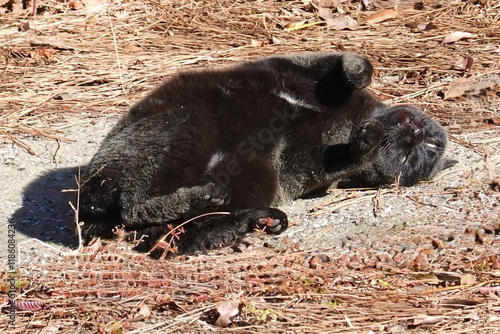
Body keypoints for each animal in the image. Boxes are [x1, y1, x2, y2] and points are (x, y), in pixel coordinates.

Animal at [79, 52, 450, 253]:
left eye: (411, 158)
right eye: (429, 144)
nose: (416, 134)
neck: (353, 118)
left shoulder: (300, 167)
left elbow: (342, 159)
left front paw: (367, 142)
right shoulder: (303, 65)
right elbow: (355, 62)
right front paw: (356, 77)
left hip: (254, 175)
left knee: (168, 231)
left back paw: (247, 216)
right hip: (184, 126)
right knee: (135, 207)